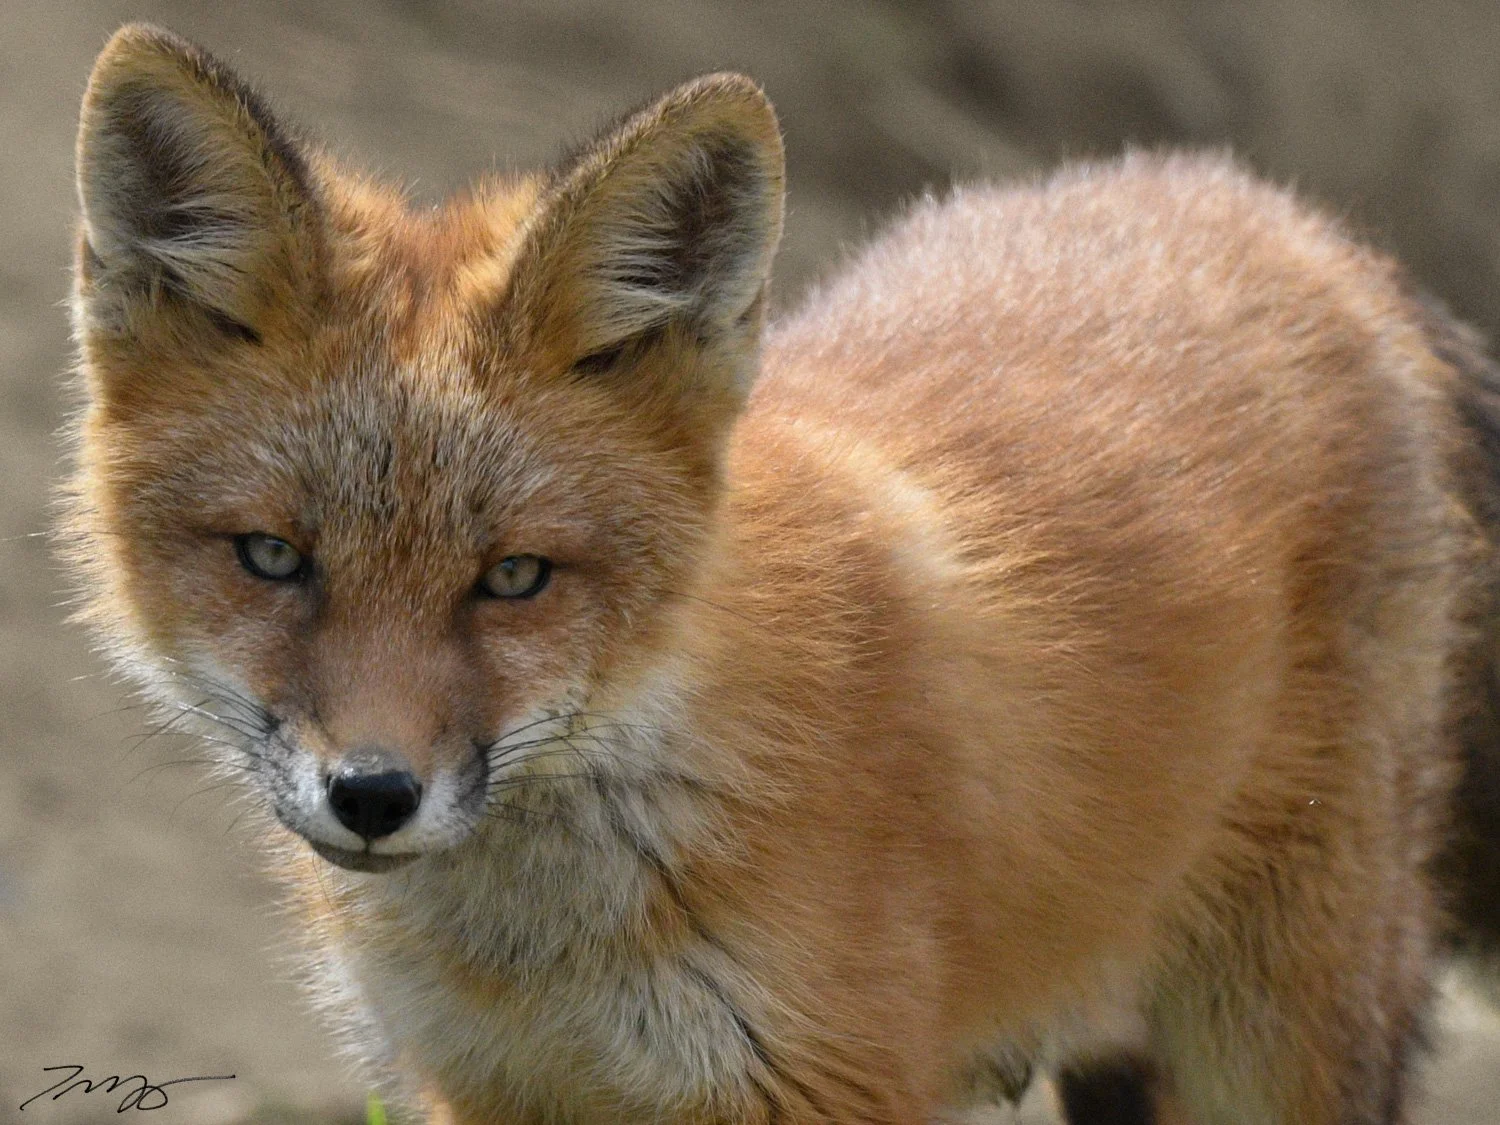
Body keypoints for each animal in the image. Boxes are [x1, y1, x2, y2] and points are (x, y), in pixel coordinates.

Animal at [61, 21, 1500, 1125]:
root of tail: (1299, 220)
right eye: (273, 557)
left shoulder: (817, 1083)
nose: (372, 796)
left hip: (1279, 1032)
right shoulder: (490, 1089)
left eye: (516, 576)